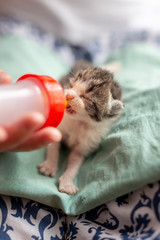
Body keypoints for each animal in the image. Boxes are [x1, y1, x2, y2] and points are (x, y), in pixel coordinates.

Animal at [38, 60, 124, 195]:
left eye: (85, 97)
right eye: (71, 85)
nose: (68, 96)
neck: (80, 122)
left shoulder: (88, 142)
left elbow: (75, 161)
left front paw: (67, 183)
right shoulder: (61, 125)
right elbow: (53, 146)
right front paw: (49, 166)